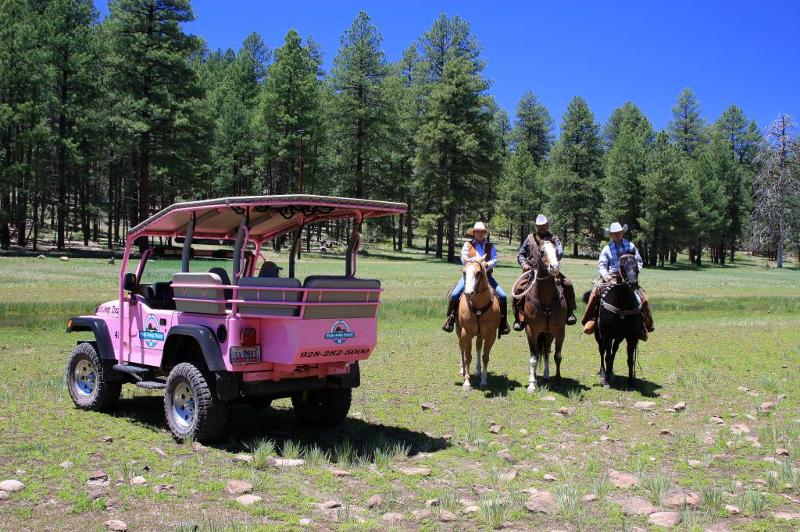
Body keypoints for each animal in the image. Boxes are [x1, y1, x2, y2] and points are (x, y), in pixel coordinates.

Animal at [456, 256, 500, 388]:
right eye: (464, 272)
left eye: (478, 273)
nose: (468, 293)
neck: (478, 307)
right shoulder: (466, 333)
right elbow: (467, 357)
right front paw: (466, 381)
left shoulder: (490, 335)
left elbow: (485, 356)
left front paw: (484, 380)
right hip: (458, 330)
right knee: (461, 347)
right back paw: (462, 369)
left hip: (480, 335)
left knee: (478, 347)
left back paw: (478, 370)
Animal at [512, 241, 568, 390]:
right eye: (542, 251)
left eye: (556, 250)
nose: (554, 267)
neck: (545, 299)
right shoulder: (531, 331)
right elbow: (533, 357)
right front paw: (532, 384)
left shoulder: (559, 331)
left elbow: (557, 356)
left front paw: (558, 380)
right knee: (539, 353)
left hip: (548, 334)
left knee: (547, 352)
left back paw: (547, 375)